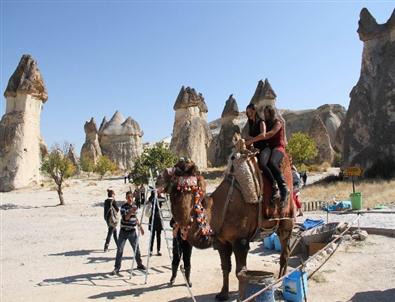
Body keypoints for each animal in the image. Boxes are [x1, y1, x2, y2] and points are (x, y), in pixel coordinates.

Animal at [157, 150, 294, 300]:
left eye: (177, 170)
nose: (158, 178)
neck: (218, 210)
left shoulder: (240, 241)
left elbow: (241, 272)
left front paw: (243, 296)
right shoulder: (222, 241)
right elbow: (225, 267)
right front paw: (223, 294)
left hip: (287, 221)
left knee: (285, 252)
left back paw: (280, 281)